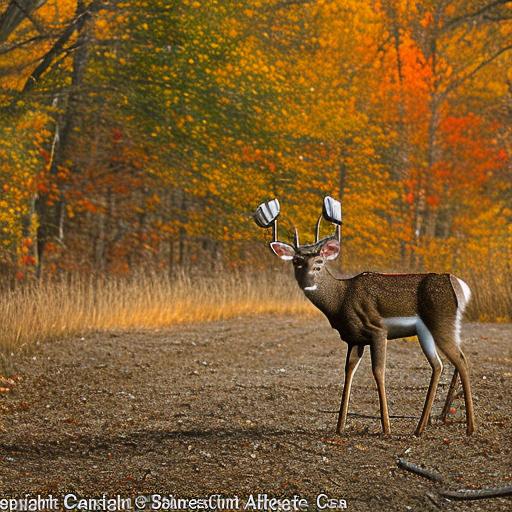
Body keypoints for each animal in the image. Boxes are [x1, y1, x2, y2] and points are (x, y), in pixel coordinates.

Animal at [255, 197, 476, 436]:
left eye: (319, 263)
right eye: (296, 262)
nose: (308, 281)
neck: (340, 301)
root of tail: (459, 286)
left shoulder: (377, 330)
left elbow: (378, 371)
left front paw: (386, 427)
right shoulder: (354, 339)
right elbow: (348, 371)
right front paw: (340, 426)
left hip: (442, 321)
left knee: (461, 359)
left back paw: (470, 427)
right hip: (425, 331)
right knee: (438, 365)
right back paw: (419, 428)